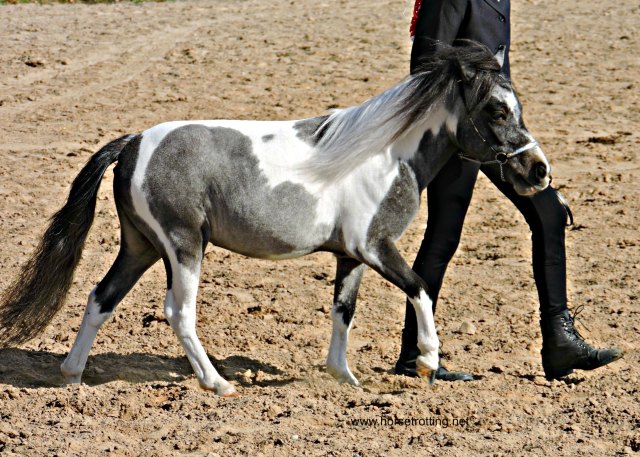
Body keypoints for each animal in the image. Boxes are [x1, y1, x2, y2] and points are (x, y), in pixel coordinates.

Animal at [0, 41, 550, 396]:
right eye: (497, 110)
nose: (538, 171)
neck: (385, 155)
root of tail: (134, 143)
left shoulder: (350, 256)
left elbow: (343, 311)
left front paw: (345, 378)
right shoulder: (375, 246)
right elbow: (420, 287)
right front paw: (428, 364)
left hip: (140, 246)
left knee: (101, 297)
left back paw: (72, 376)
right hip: (182, 245)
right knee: (179, 312)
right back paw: (217, 383)